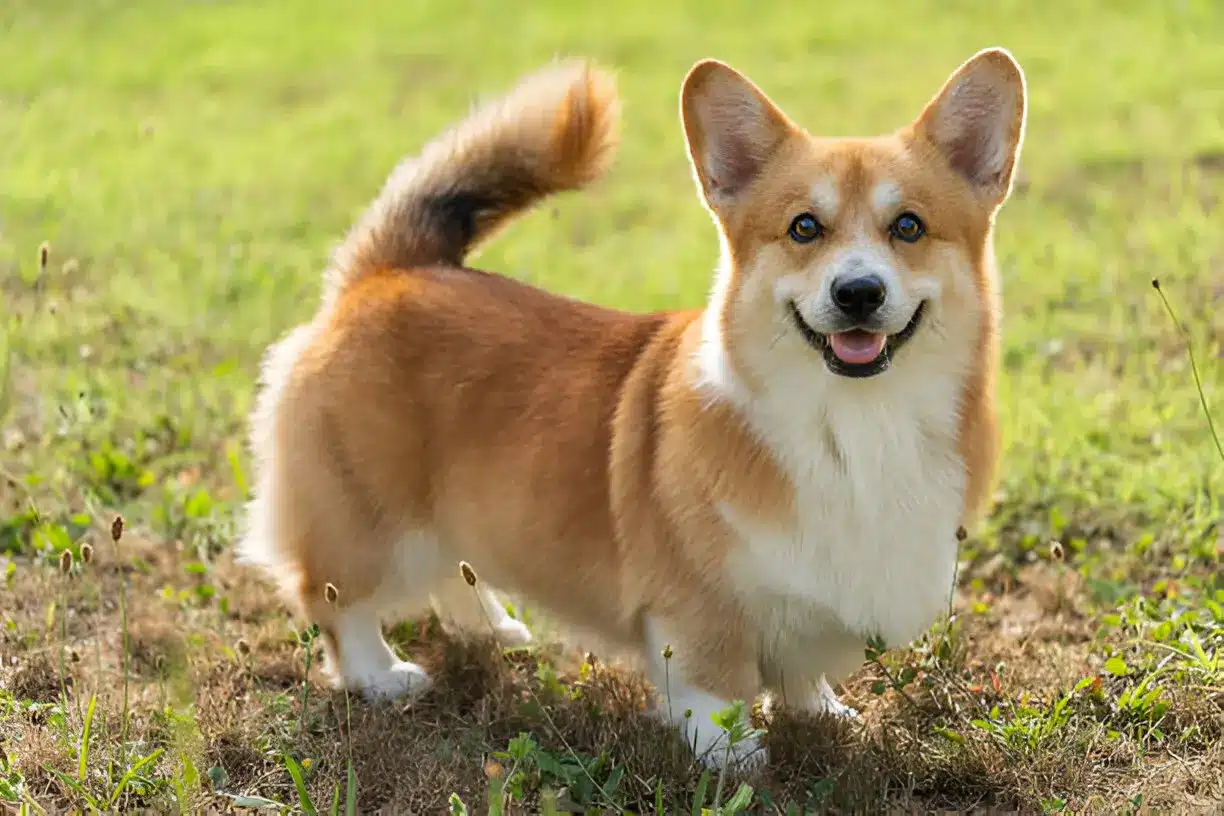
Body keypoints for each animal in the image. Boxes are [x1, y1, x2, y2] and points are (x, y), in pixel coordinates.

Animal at [236, 48, 1023, 768]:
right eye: (804, 228)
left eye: (909, 227)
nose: (857, 292)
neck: (856, 425)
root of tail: (386, 271)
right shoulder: (700, 609)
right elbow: (719, 690)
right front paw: (735, 759)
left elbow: (802, 673)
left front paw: (824, 715)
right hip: (368, 520)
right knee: (335, 599)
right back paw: (382, 676)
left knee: (451, 569)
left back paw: (492, 630)